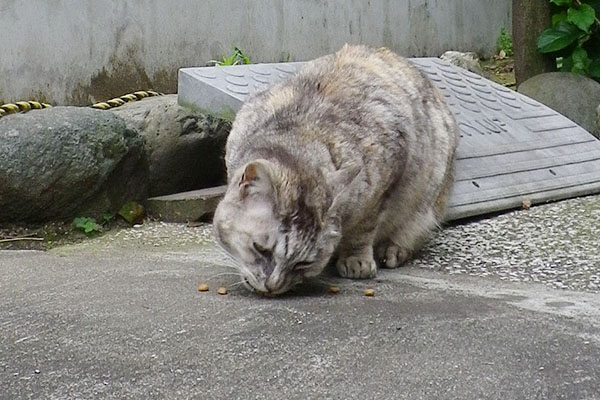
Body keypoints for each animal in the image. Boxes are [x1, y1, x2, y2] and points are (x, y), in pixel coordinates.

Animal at [213, 44, 458, 294]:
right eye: (260, 248)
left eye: (303, 264)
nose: (274, 286)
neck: (300, 137)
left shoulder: (386, 175)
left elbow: (363, 228)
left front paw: (356, 260)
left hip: (428, 198)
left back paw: (392, 249)